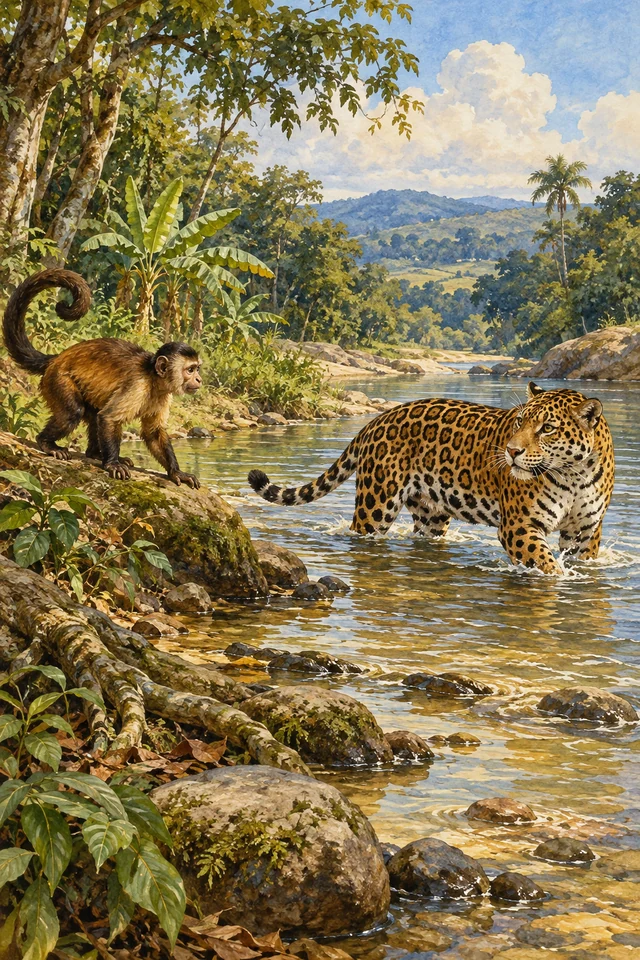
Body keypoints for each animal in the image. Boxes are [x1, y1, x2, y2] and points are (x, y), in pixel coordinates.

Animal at [3, 268, 202, 488]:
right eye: (190, 370)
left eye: (197, 369)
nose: (199, 379)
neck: (154, 380)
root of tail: (58, 358)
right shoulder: (137, 385)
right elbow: (108, 418)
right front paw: (113, 464)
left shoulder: (163, 395)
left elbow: (153, 433)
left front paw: (176, 472)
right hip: (57, 379)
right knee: (74, 412)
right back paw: (48, 443)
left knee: (93, 414)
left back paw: (94, 454)